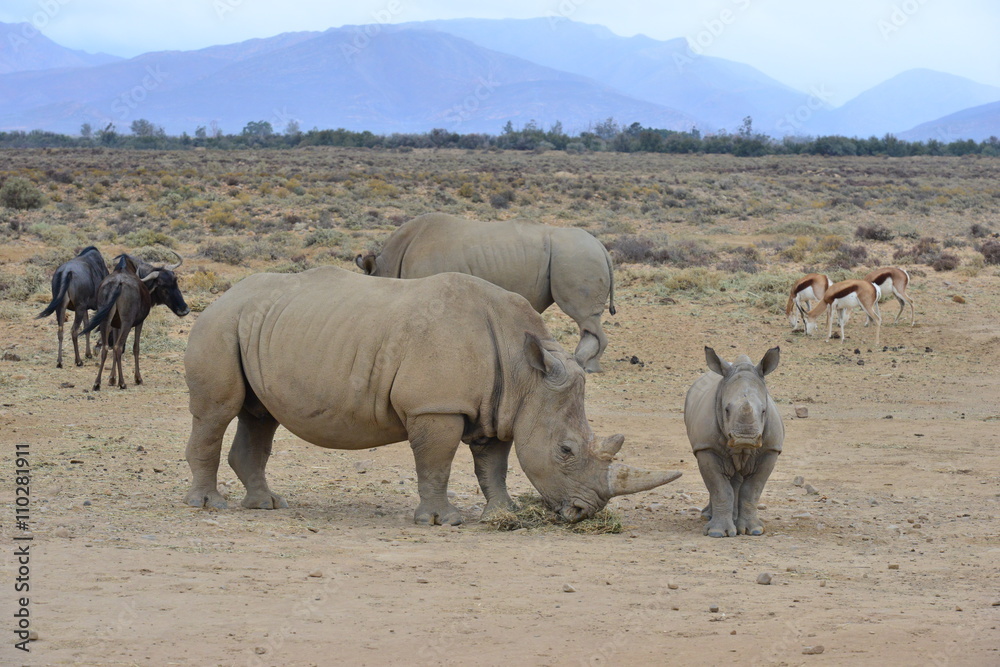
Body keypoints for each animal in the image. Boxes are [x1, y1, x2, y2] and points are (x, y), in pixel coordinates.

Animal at [183, 267, 679, 525]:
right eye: (566, 450)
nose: (584, 512)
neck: (526, 372)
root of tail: (222, 296)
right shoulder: (435, 406)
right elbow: (437, 462)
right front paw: (444, 521)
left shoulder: (499, 408)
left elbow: (493, 465)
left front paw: (502, 514)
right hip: (220, 325)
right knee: (217, 413)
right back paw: (210, 507)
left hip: (259, 325)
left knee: (259, 416)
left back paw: (267, 505)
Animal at [355, 213, 616, 373]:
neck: (388, 264)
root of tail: (601, 246)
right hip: (578, 255)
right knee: (587, 321)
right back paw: (582, 362)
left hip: (576, 257)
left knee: (585, 317)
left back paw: (587, 366)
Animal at [683, 346, 783, 537]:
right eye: (726, 410)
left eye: (764, 411)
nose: (745, 439)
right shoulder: (706, 447)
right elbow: (720, 488)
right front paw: (717, 532)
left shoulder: (770, 450)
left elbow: (752, 490)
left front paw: (754, 530)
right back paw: (709, 517)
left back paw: (736, 520)